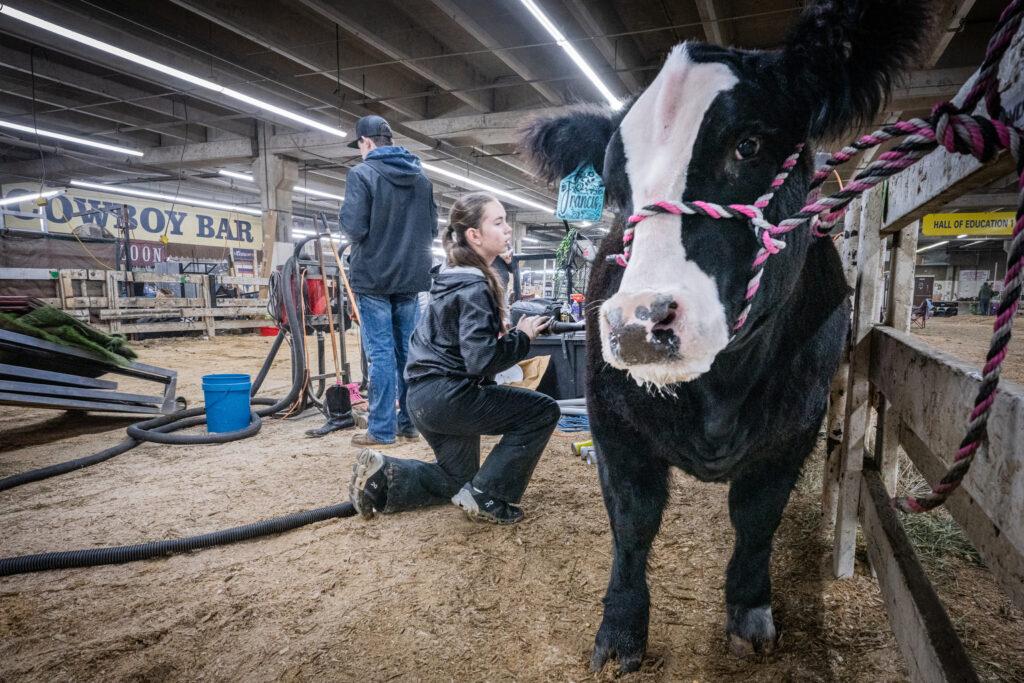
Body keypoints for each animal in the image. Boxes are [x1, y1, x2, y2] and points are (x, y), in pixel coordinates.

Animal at [524, 0, 933, 671]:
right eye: (614, 184)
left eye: (749, 144)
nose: (638, 320)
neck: (719, 397)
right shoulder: (612, 421)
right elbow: (633, 522)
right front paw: (620, 632)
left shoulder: (794, 429)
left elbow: (756, 518)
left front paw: (749, 612)